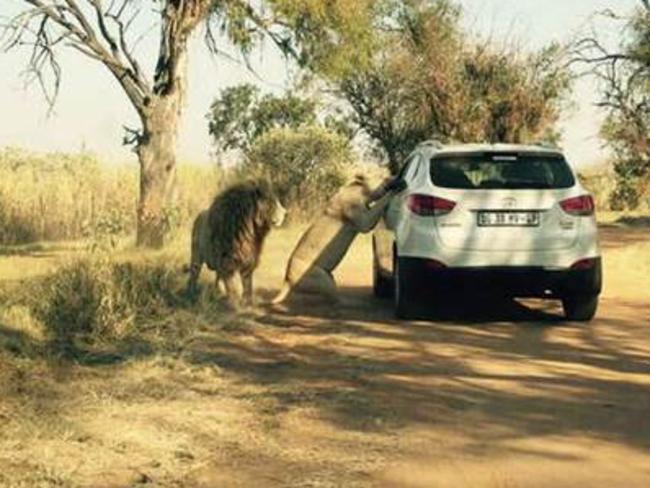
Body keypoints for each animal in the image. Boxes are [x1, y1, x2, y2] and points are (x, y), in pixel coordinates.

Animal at [270, 173, 402, 304]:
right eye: (383, 177)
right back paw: (352, 302)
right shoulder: (363, 220)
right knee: (335, 299)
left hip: (329, 277)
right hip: (322, 279)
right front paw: (396, 190)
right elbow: (378, 205)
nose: (394, 176)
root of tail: (287, 280)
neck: (361, 191)